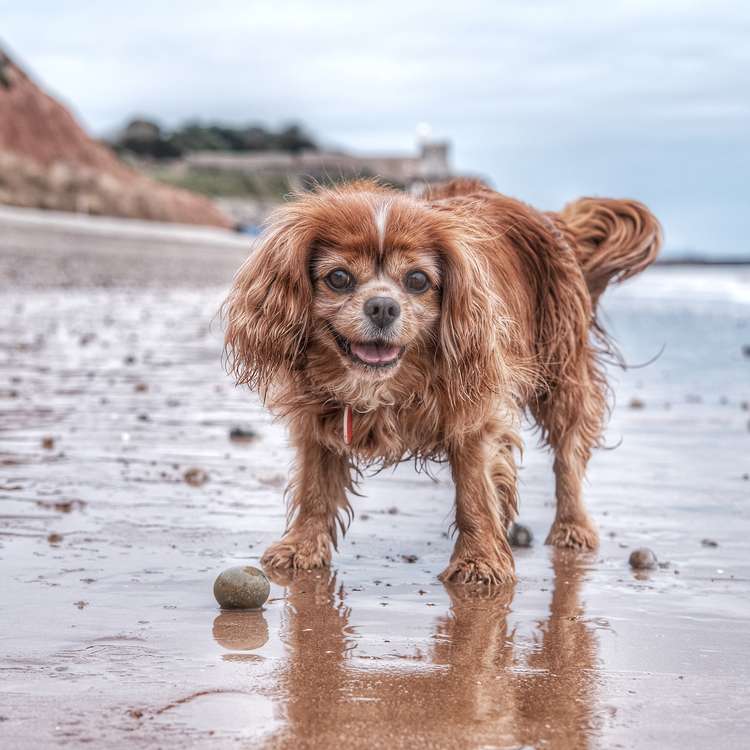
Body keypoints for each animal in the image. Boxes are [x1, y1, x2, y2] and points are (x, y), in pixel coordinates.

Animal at [223, 178, 664, 588]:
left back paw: (572, 528)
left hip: (562, 375)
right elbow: (315, 486)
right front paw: (301, 548)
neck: (386, 382)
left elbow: (475, 493)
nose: (382, 306)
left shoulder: (475, 413)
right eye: (339, 277)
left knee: (568, 454)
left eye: (418, 280)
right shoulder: (316, 415)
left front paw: (479, 562)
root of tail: (549, 220)